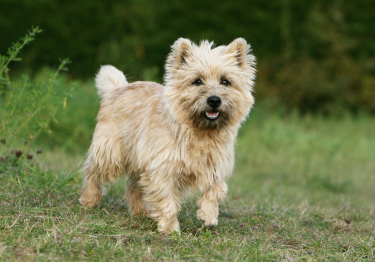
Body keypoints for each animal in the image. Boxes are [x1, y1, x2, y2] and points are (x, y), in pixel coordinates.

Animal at [79, 37, 256, 234]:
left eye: (225, 81)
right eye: (197, 81)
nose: (214, 100)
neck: (200, 133)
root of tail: (117, 88)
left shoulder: (215, 165)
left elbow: (218, 189)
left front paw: (208, 215)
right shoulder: (163, 169)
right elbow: (168, 202)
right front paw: (170, 229)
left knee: (133, 185)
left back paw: (140, 212)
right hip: (110, 152)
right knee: (93, 172)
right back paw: (89, 200)